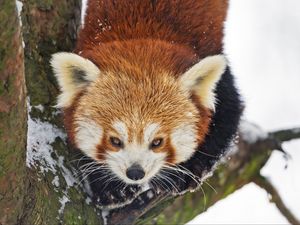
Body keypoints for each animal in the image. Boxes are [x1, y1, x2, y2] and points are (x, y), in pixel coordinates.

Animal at [49, 0, 241, 207]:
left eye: (157, 142)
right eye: (114, 141)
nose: (135, 173)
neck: (142, 32)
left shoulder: (220, 81)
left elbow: (226, 120)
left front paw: (188, 170)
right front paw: (111, 187)